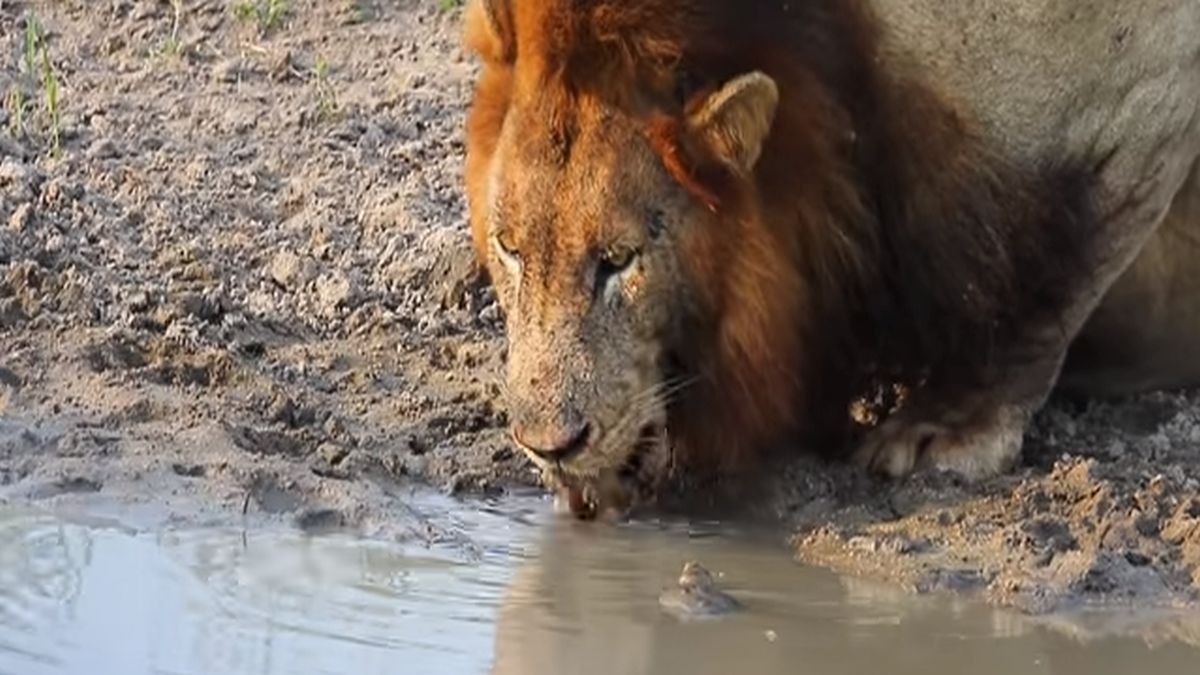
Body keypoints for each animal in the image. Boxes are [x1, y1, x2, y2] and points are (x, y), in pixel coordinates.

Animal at [461, 0, 1200, 519]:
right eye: (511, 249)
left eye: (619, 260)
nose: (548, 445)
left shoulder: (1149, 90)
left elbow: (1059, 280)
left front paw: (945, 428)